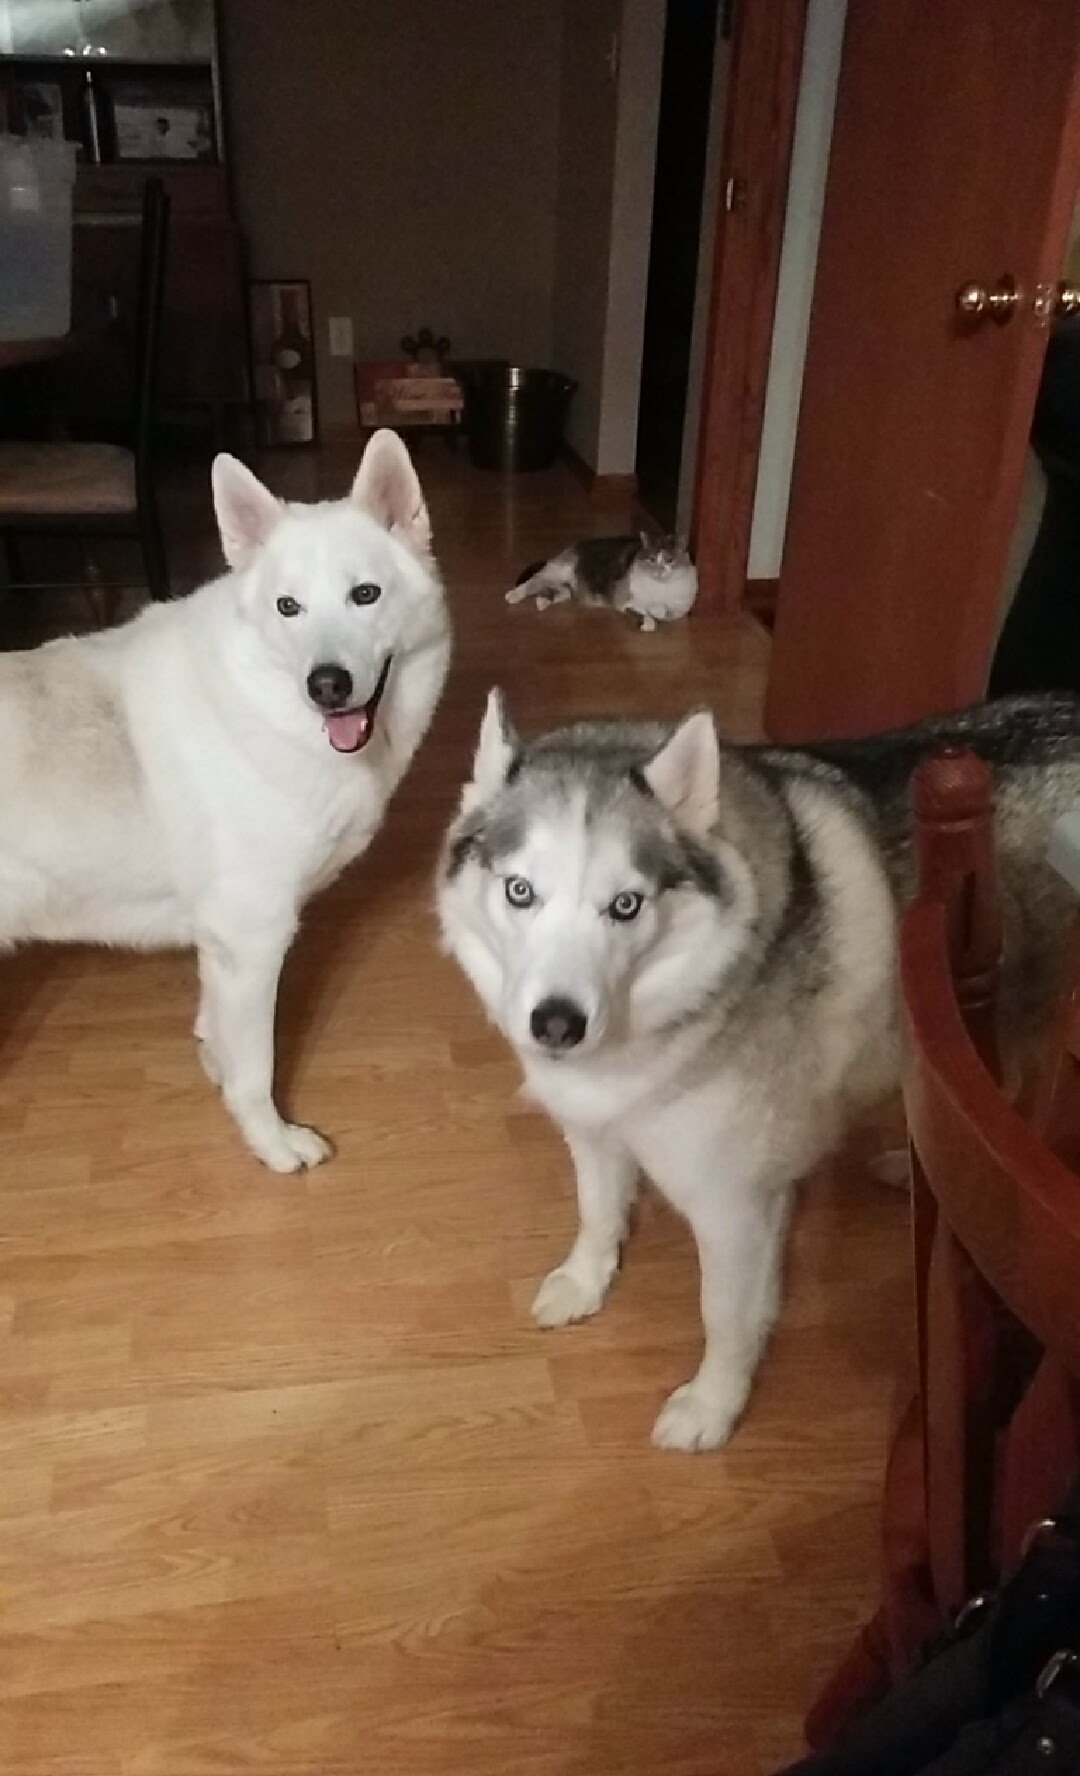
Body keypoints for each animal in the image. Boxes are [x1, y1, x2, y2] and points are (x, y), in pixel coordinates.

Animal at [0, 429, 450, 1171]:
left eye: (365, 594)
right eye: (288, 608)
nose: (326, 685)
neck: (260, 707)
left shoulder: (223, 948)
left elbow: (216, 1032)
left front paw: (215, 1065)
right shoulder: (254, 940)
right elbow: (256, 1070)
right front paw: (272, 1144)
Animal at [437, 690, 1080, 1449]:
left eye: (625, 905)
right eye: (520, 892)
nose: (557, 1024)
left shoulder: (732, 1204)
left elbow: (726, 1314)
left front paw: (714, 1405)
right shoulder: (595, 1130)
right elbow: (598, 1211)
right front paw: (585, 1280)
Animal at [505, 533, 697, 632]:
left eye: (670, 560)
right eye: (651, 560)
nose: (660, 570)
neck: (662, 587)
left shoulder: (680, 609)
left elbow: (665, 611)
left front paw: (657, 611)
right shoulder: (625, 600)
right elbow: (647, 614)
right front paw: (648, 621)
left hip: (566, 586)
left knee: (560, 591)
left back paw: (542, 601)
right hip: (558, 570)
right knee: (533, 581)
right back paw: (513, 596)